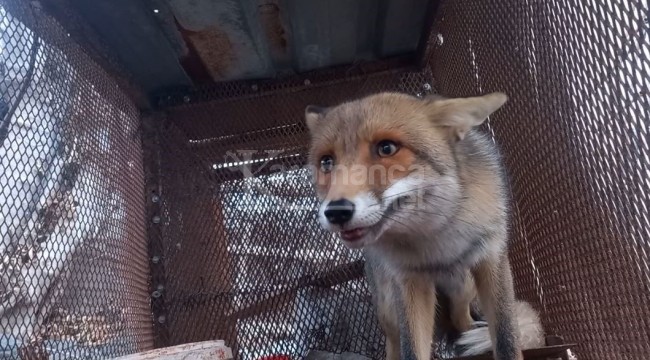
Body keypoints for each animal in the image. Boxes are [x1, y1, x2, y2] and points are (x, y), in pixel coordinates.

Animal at [304, 90, 540, 360]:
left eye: (386, 148)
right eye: (326, 162)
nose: (336, 212)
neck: (435, 239)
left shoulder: (491, 257)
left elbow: (506, 337)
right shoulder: (409, 281)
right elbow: (412, 350)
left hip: (463, 285)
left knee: (461, 320)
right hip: (389, 306)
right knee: (396, 340)